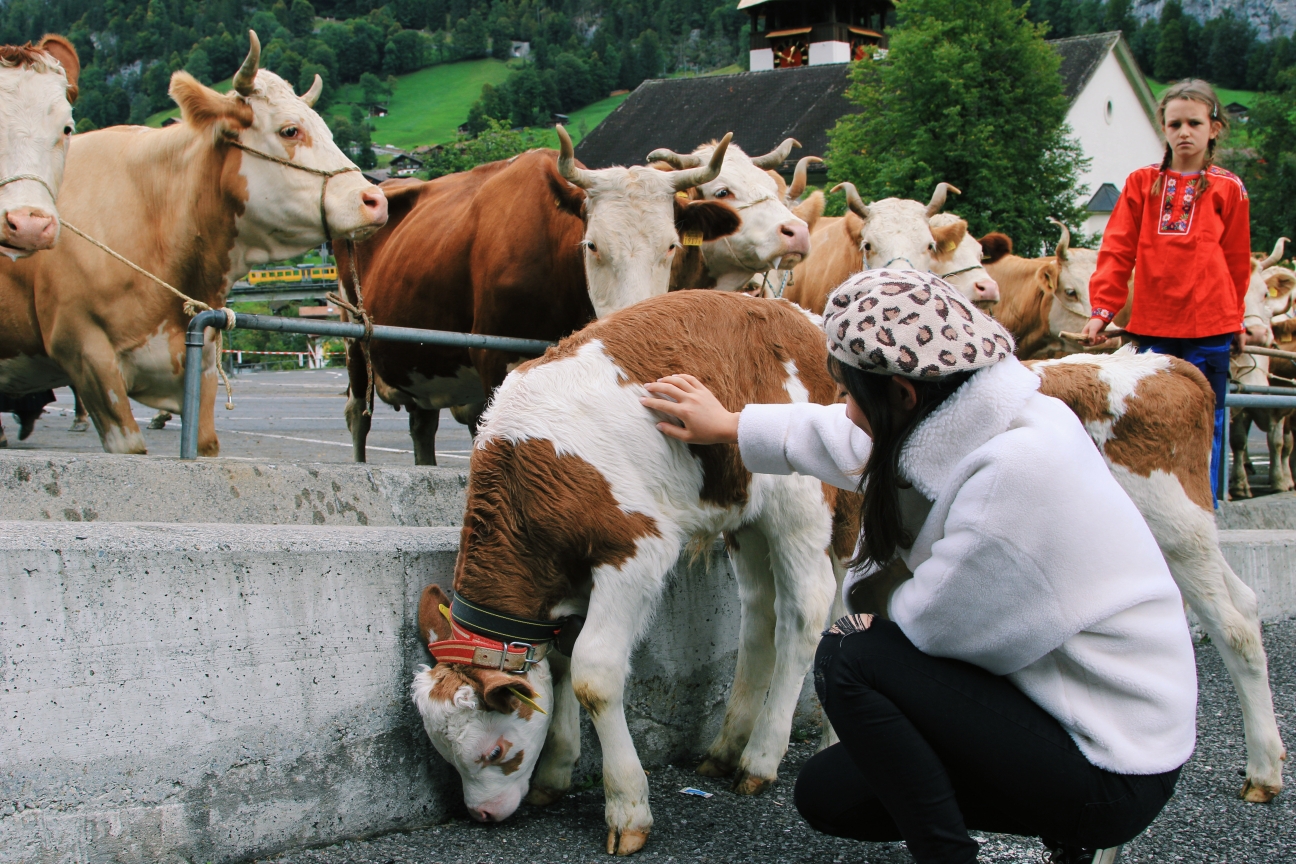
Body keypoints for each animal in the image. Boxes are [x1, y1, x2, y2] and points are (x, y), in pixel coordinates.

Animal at [334, 129, 741, 466]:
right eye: (592, 245)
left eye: (671, 245)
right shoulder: (492, 359)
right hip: (354, 335)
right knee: (357, 416)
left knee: (422, 425)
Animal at [409, 288, 844, 849]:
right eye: (446, 755)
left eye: (495, 752)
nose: (482, 815)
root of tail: (801, 315)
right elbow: (558, 663)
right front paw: (555, 771)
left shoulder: (635, 549)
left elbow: (592, 675)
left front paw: (626, 806)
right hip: (746, 515)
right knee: (762, 616)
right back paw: (731, 748)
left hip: (803, 498)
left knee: (808, 611)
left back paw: (763, 757)